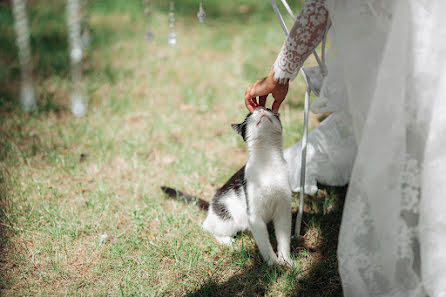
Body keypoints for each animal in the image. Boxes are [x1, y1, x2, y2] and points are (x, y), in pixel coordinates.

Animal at [160, 106, 292, 264]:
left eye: (268, 108)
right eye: (250, 114)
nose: (260, 109)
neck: (268, 160)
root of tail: (211, 206)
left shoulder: (283, 210)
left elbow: (283, 239)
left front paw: (285, 260)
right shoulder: (254, 215)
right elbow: (264, 243)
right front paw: (272, 262)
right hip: (228, 219)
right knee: (206, 227)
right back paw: (226, 240)